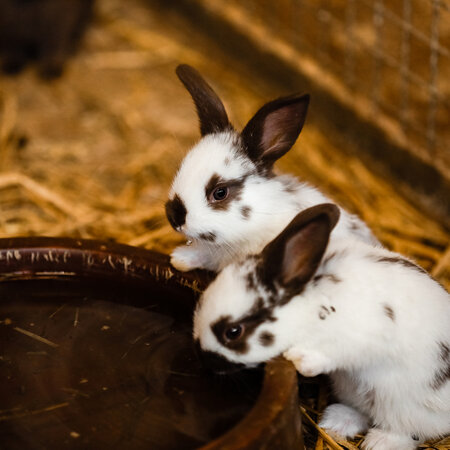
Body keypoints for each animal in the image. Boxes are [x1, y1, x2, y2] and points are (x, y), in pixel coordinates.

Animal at [165, 65, 376, 272]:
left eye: (220, 192)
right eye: (181, 167)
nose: (174, 216)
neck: (262, 216)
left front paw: (180, 258)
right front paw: (180, 259)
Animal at [193, 205, 450, 450]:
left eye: (233, 332)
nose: (204, 361)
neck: (309, 303)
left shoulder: (363, 334)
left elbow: (338, 352)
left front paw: (301, 360)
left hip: (405, 406)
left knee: (408, 431)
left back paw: (379, 443)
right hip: (354, 391)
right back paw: (336, 421)